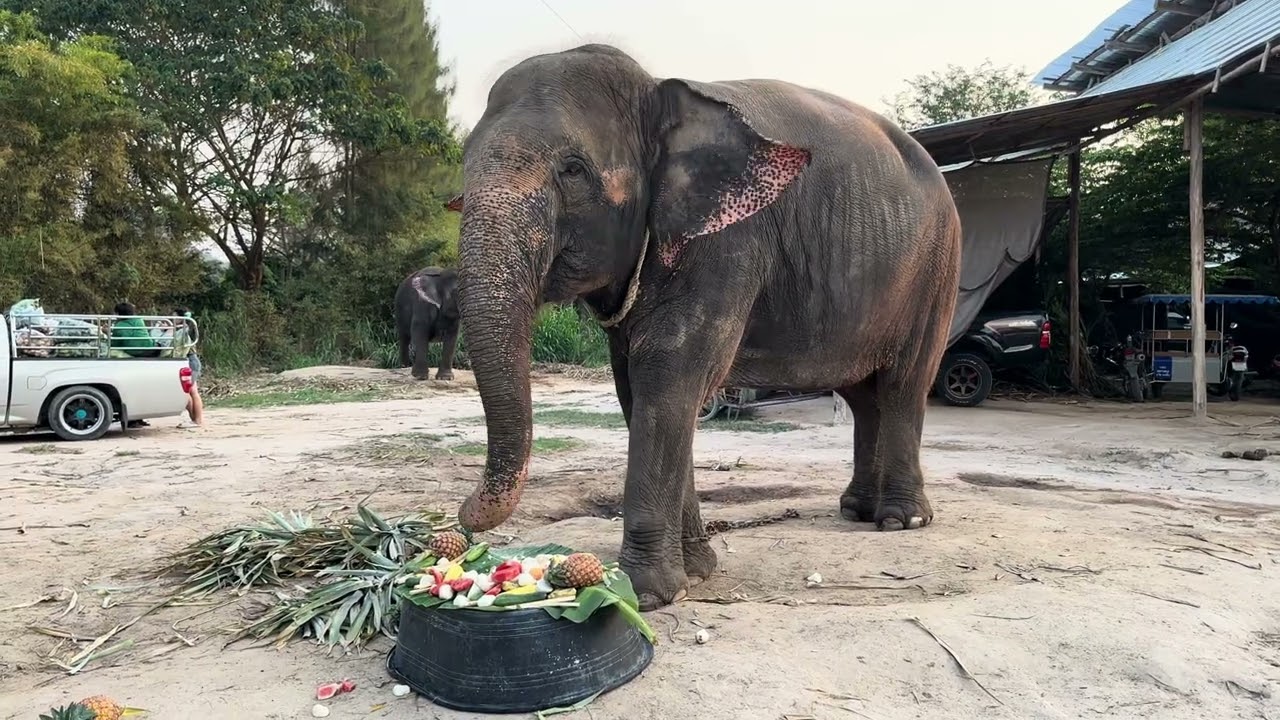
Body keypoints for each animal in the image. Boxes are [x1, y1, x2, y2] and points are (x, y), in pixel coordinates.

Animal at [447, 44, 962, 610]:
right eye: (463, 168)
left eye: (573, 170)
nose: (462, 516)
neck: (657, 93)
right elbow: (637, 387)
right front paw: (698, 571)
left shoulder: (729, 243)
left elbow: (669, 374)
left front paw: (647, 594)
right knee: (863, 396)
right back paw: (856, 510)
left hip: (937, 269)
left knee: (903, 385)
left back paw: (901, 521)